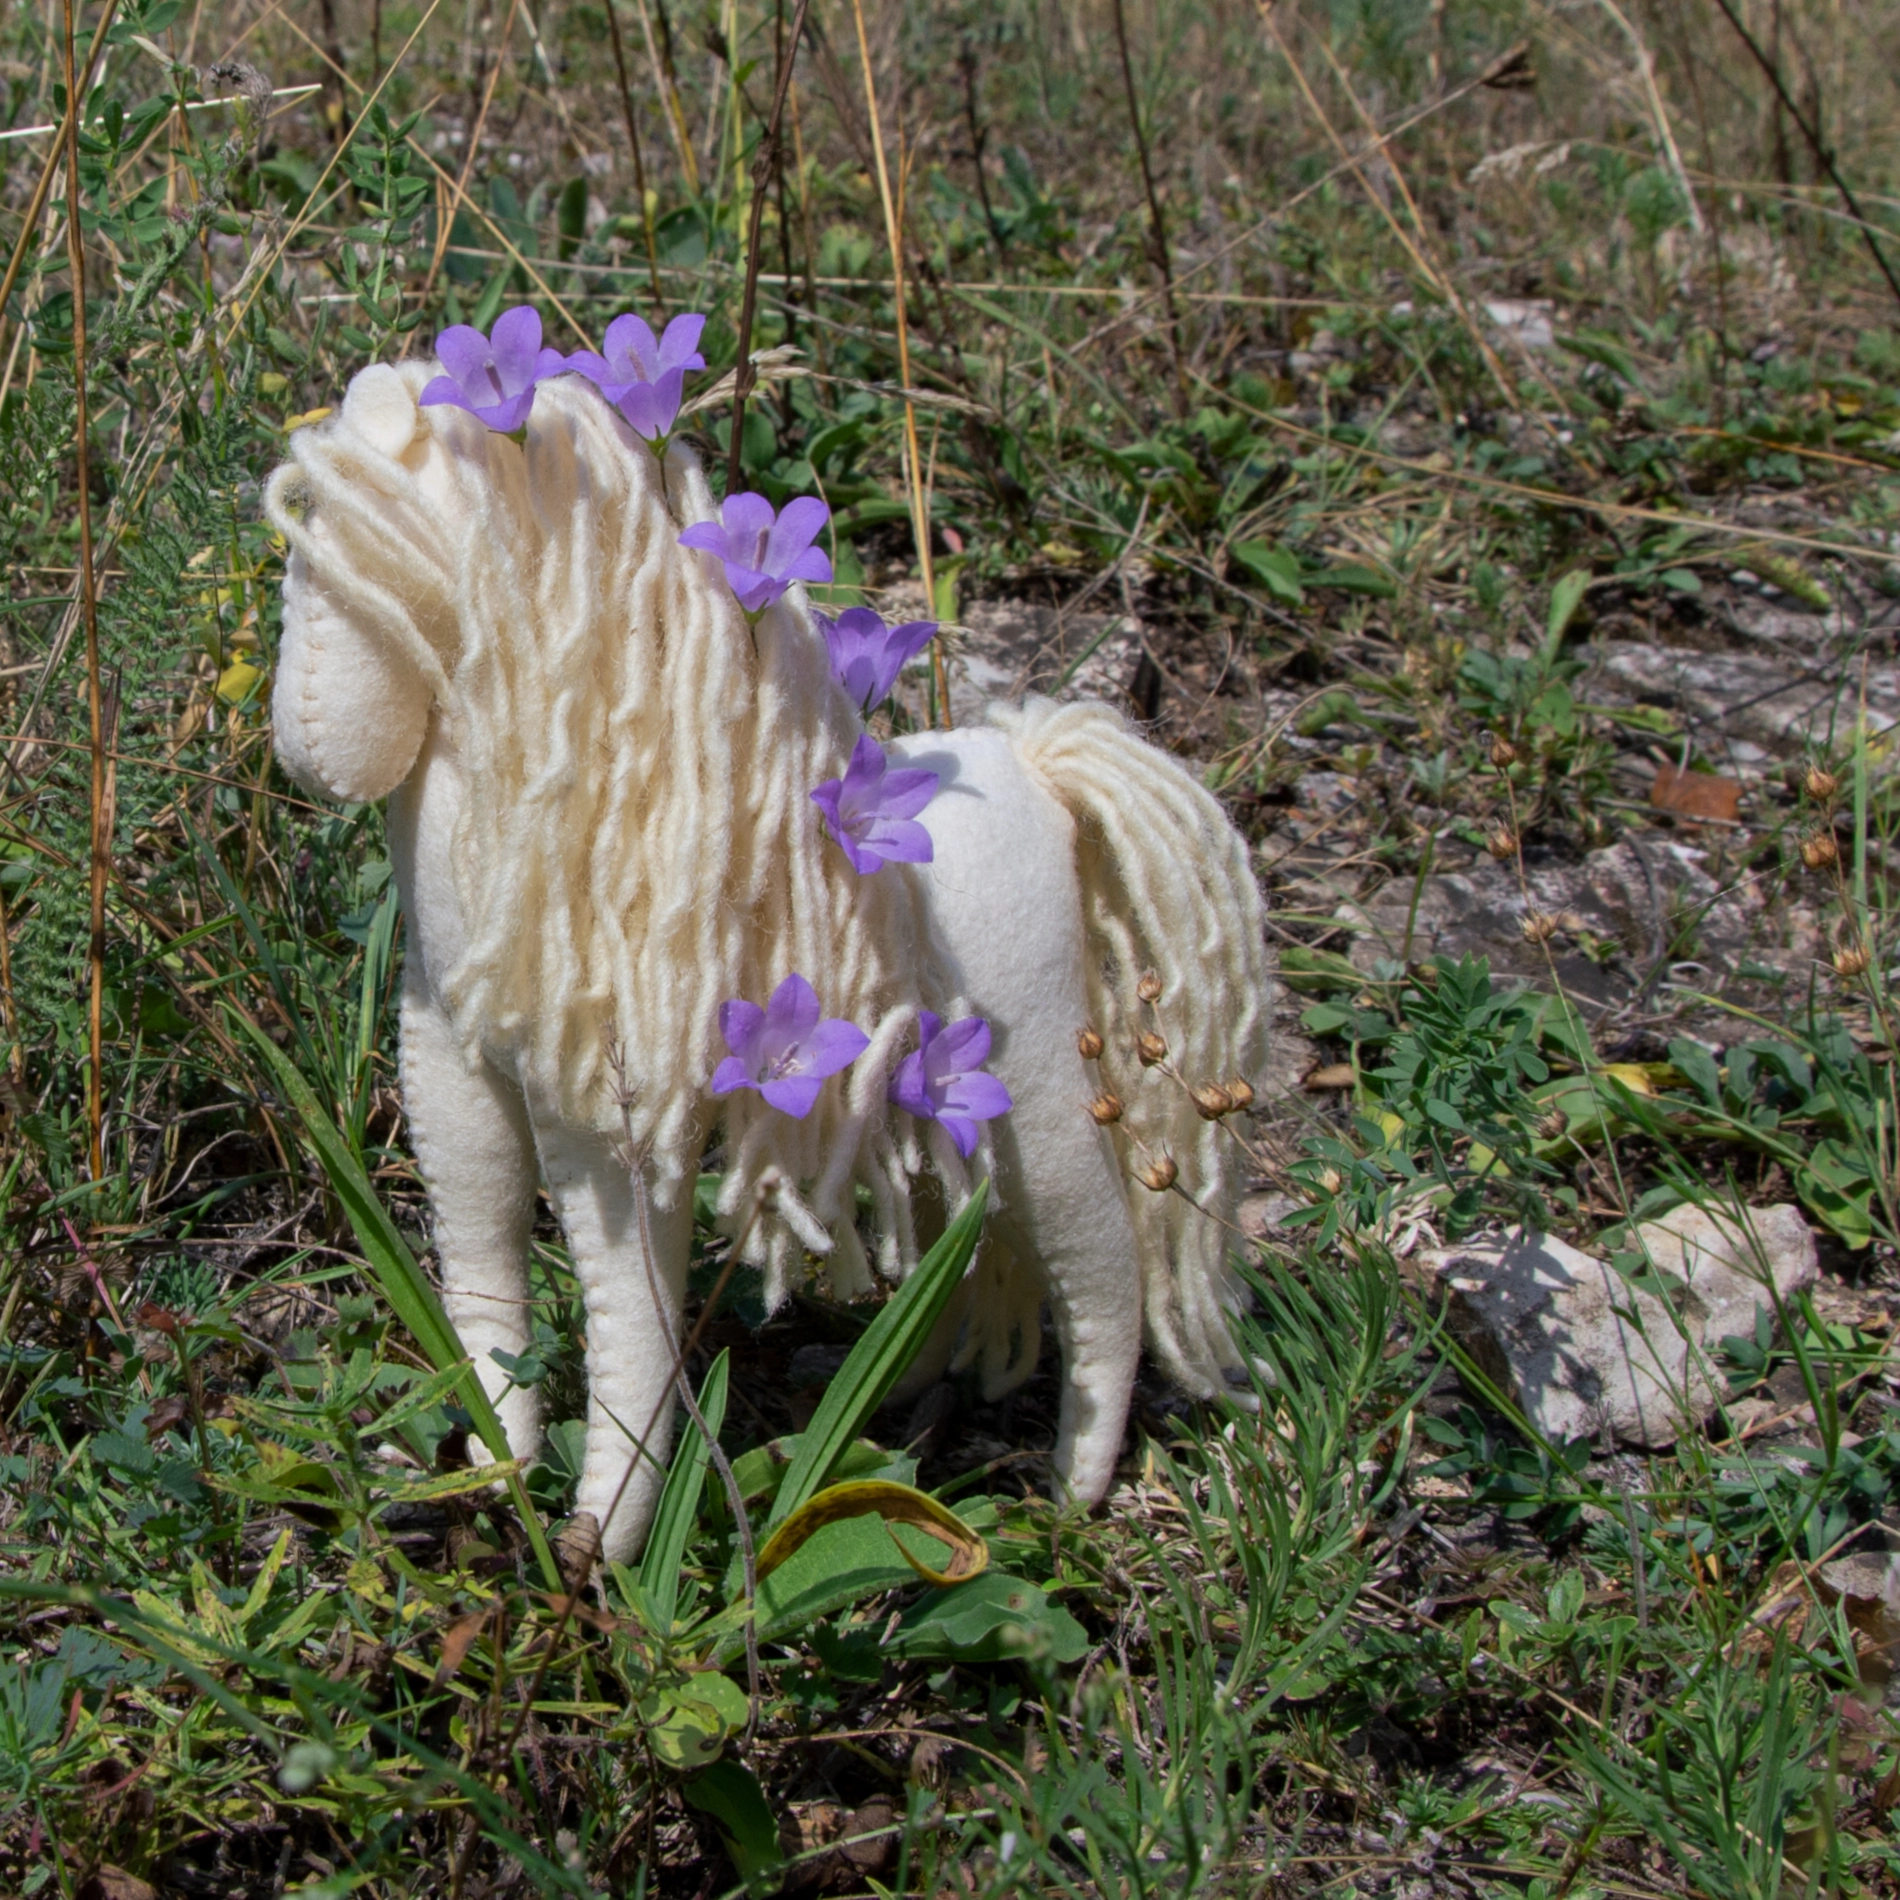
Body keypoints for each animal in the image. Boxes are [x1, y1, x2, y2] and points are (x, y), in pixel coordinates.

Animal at [264, 357, 1276, 1558]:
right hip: (924, 1091)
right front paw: (493, 1455)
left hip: (1035, 1086)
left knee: (1101, 1259)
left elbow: (632, 1308)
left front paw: (603, 1537)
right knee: (951, 1225)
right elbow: (480, 1237)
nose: (308, 749)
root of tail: (1034, 767)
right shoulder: (452, 1061)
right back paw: (890, 1387)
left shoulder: (620, 1118)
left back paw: (1074, 1484)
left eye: (333, 559)